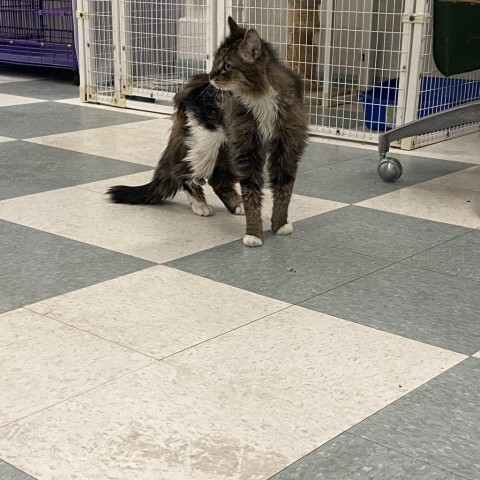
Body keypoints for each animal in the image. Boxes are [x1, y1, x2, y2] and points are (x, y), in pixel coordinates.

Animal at [108, 15, 308, 248]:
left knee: (217, 179)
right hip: (206, 144)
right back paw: (200, 205)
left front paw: (280, 224)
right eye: (215, 62)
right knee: (184, 173)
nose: (212, 76)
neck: (260, 97)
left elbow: (284, 189)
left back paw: (235, 205)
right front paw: (254, 233)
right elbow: (251, 191)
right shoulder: (247, 150)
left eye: (227, 66)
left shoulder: (287, 146)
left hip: (227, 149)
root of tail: (191, 86)